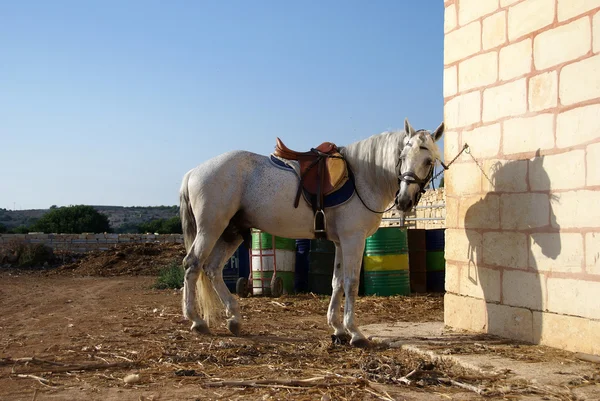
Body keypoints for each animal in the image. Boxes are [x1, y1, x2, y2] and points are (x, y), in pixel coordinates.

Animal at [177, 118, 440, 346]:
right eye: (402, 157)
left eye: (429, 160)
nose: (404, 201)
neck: (363, 177)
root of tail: (193, 172)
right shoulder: (353, 239)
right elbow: (351, 283)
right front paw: (355, 333)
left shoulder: (340, 242)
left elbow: (336, 282)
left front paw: (338, 329)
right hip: (211, 229)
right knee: (193, 265)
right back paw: (197, 321)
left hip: (232, 232)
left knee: (212, 269)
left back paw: (234, 318)